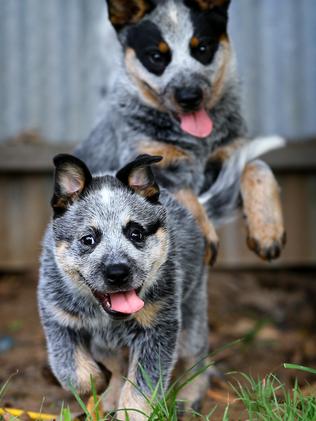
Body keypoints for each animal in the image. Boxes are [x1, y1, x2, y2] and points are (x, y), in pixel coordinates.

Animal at [76, 0, 286, 262]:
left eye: (203, 47)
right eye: (156, 56)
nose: (189, 96)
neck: (197, 143)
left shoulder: (230, 159)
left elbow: (257, 166)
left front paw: (267, 230)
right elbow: (182, 193)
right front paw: (201, 235)